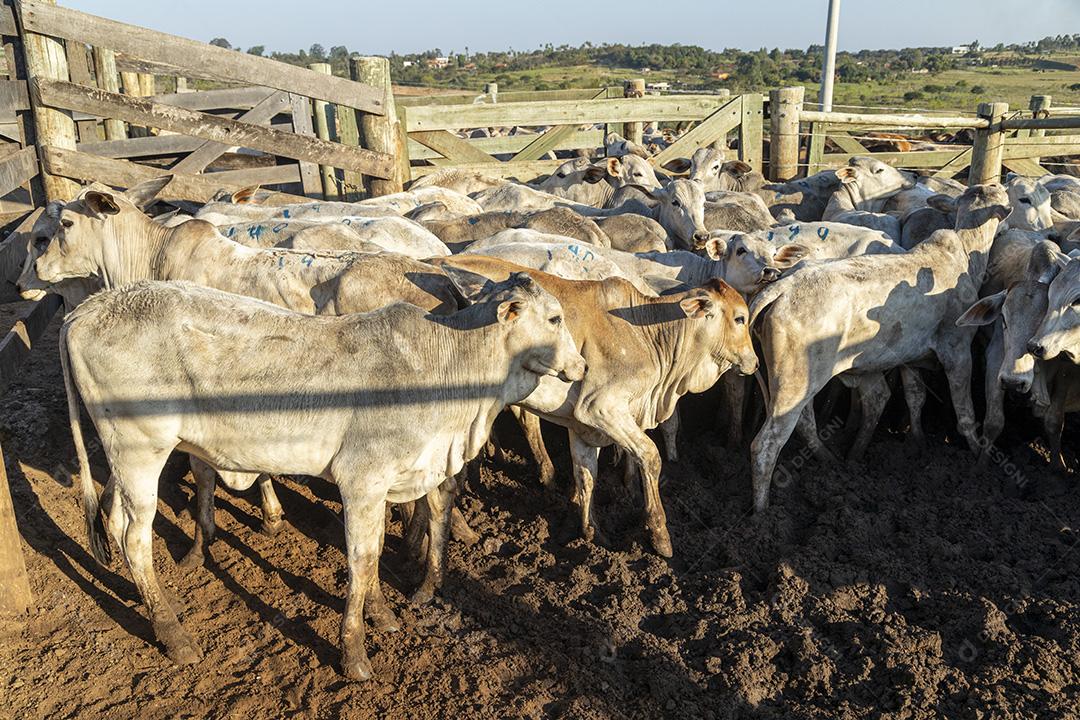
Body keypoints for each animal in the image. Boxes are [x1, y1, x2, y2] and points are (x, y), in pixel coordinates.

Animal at [61, 275, 585, 680]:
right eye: (555, 319)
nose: (580, 367)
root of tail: (89, 308)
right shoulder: (362, 482)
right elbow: (361, 559)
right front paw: (354, 652)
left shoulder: (395, 481)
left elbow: (378, 552)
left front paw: (382, 613)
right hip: (140, 451)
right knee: (135, 537)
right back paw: (173, 633)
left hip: (123, 457)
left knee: (112, 520)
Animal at [748, 184, 1010, 511]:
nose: (999, 187)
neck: (963, 257)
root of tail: (783, 286)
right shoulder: (957, 350)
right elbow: (965, 413)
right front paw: (976, 455)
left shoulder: (911, 358)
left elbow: (915, 397)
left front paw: (917, 442)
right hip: (793, 385)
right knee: (766, 445)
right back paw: (761, 512)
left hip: (797, 380)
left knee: (807, 421)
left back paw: (833, 460)